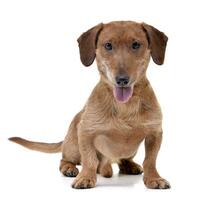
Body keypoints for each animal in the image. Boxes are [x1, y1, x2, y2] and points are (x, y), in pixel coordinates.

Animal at [8, 21, 170, 190]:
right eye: (108, 45)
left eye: (136, 44)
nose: (122, 80)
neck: (124, 105)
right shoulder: (86, 133)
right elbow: (89, 160)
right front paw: (85, 177)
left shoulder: (155, 134)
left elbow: (150, 161)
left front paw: (154, 178)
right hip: (73, 146)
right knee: (65, 160)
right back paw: (70, 168)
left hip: (131, 150)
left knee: (123, 160)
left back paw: (128, 166)